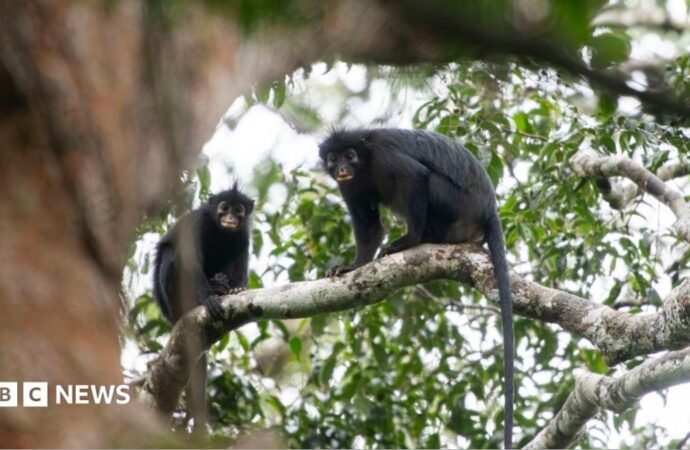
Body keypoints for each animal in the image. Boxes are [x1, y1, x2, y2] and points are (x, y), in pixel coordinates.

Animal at [153, 182, 254, 432]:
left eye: (238, 210)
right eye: (224, 207)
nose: (230, 217)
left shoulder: (243, 233)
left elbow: (241, 254)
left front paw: (236, 289)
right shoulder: (197, 224)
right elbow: (189, 261)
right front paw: (208, 299)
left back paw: (221, 287)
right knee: (171, 253)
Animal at [319, 128, 514, 449]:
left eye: (350, 155)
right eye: (334, 158)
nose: (343, 168)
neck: (366, 163)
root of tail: (489, 209)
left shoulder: (384, 155)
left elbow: (416, 176)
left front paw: (409, 240)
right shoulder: (349, 186)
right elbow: (369, 227)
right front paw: (352, 267)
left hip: (456, 205)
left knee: (428, 180)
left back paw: (421, 238)